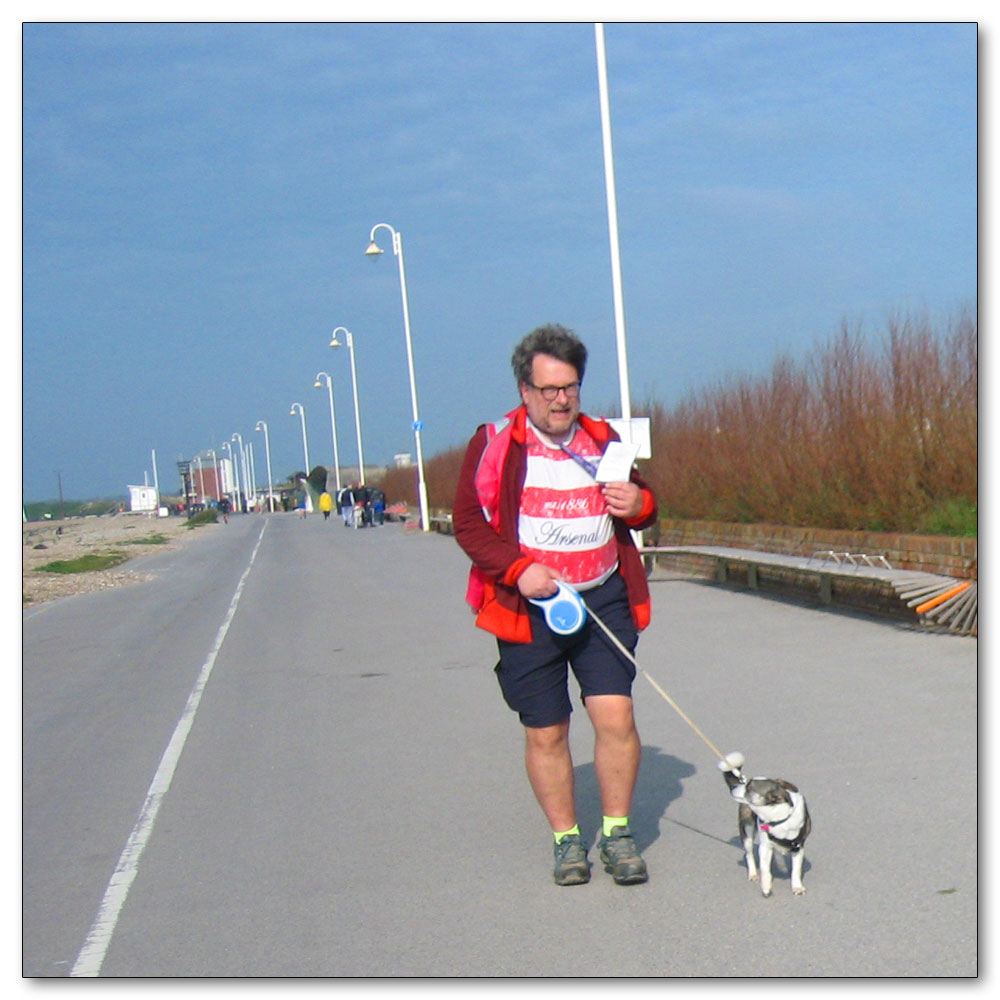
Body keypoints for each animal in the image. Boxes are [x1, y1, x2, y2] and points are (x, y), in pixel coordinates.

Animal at [716, 752, 808, 900]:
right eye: (747, 785)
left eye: (749, 788)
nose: (735, 788)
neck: (778, 817)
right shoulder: (764, 846)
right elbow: (765, 870)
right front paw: (766, 887)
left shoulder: (798, 847)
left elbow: (796, 870)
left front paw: (797, 887)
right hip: (747, 831)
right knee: (749, 854)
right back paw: (754, 873)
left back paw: (781, 865)